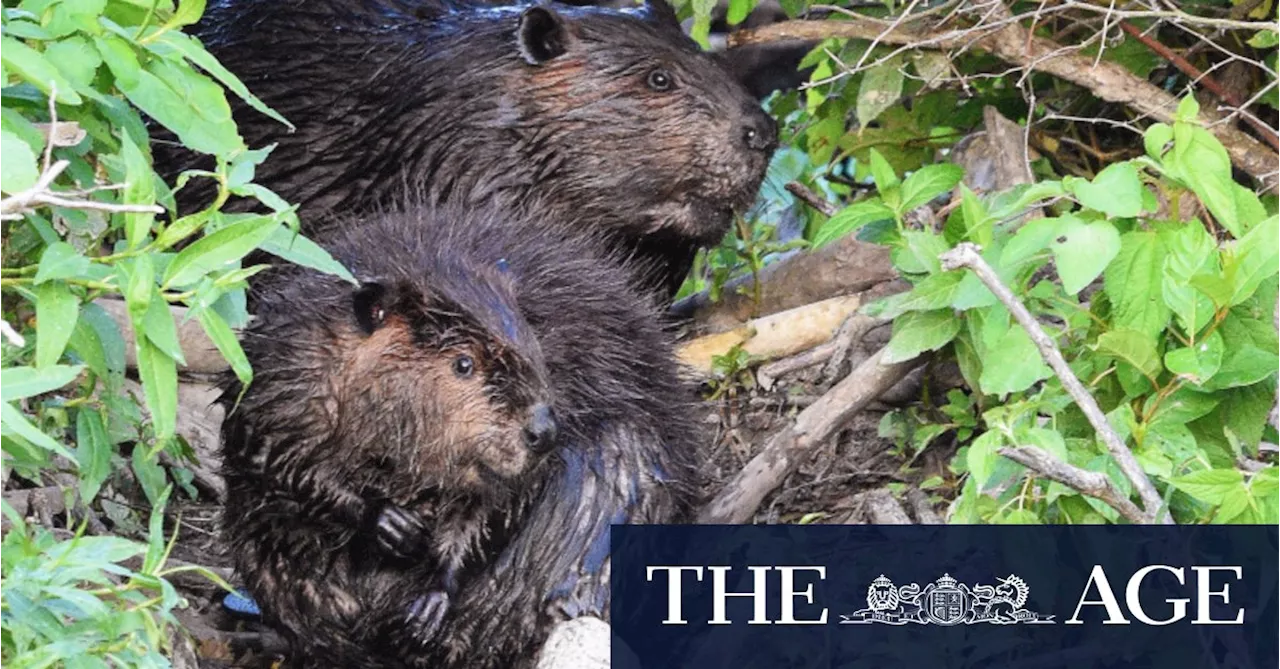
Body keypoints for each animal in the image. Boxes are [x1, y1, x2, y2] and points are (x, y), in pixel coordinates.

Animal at [220, 204, 701, 669]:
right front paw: (391, 524)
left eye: (534, 346)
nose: (543, 430)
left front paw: (430, 603)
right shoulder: (288, 374)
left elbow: (496, 505)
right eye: (463, 363)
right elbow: (271, 456)